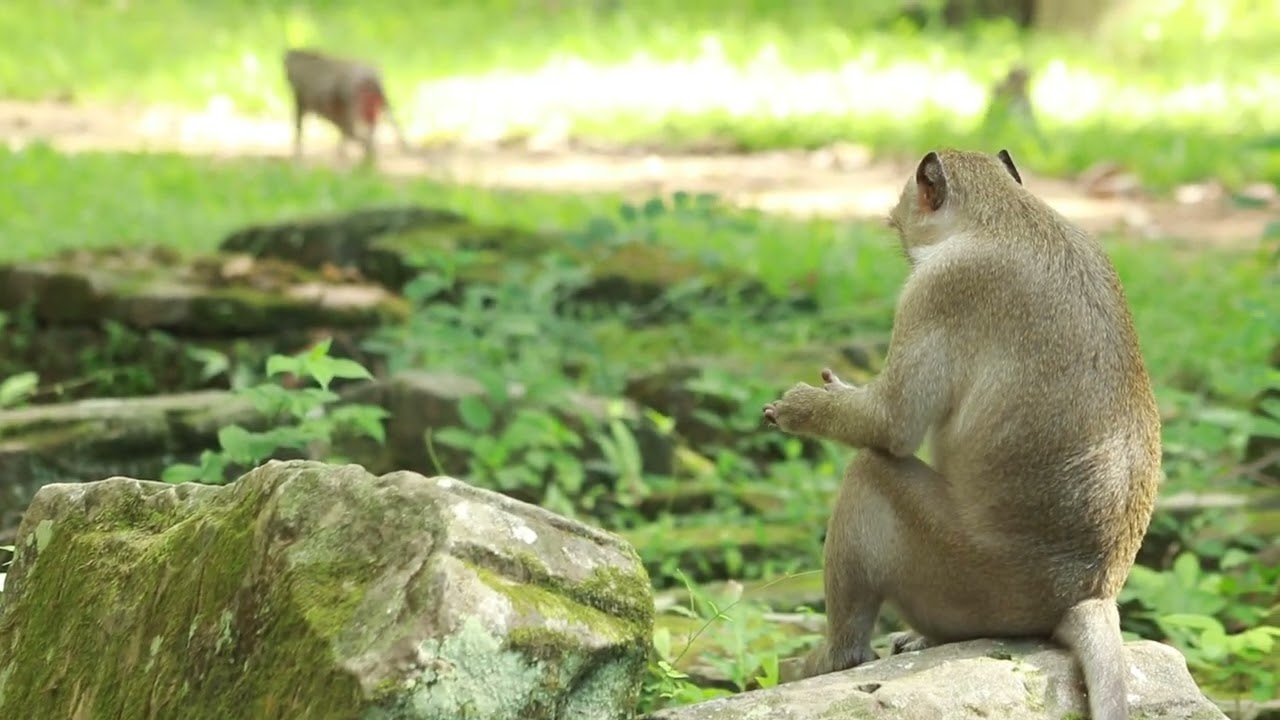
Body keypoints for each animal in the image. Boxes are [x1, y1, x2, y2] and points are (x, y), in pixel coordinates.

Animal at [762, 149, 1161, 720]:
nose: (905, 248)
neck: (1010, 215)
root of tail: (1086, 596)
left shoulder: (941, 289)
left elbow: (891, 424)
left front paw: (802, 407)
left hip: (965, 577)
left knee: (872, 471)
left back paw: (837, 657)